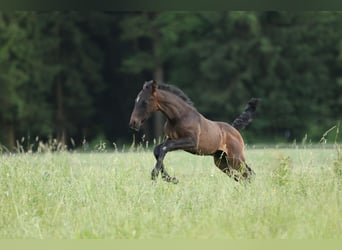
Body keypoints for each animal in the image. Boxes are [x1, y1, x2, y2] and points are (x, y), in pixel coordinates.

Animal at [129, 80, 260, 184]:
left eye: (145, 101)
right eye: (136, 100)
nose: (133, 123)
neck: (179, 116)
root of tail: (234, 129)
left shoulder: (191, 141)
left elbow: (165, 147)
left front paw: (156, 175)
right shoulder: (172, 139)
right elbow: (158, 149)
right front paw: (170, 178)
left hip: (235, 158)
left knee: (248, 174)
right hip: (222, 162)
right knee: (243, 176)